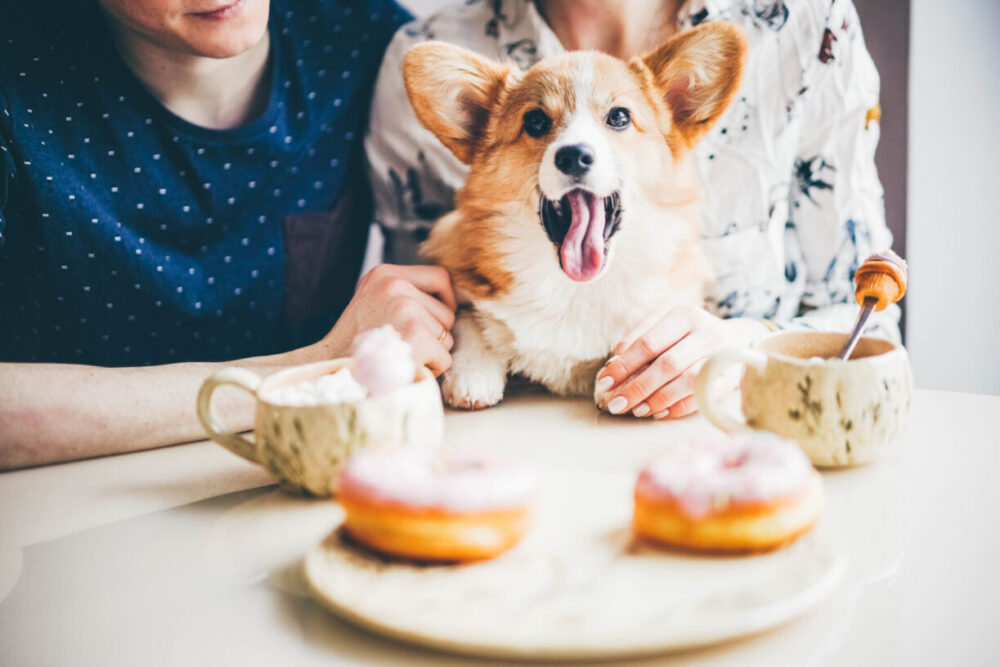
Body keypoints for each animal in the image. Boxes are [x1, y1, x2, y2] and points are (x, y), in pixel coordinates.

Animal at [402, 23, 748, 410]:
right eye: (535, 121)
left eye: (619, 117)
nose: (573, 156)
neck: (575, 289)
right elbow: (468, 316)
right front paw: (473, 371)